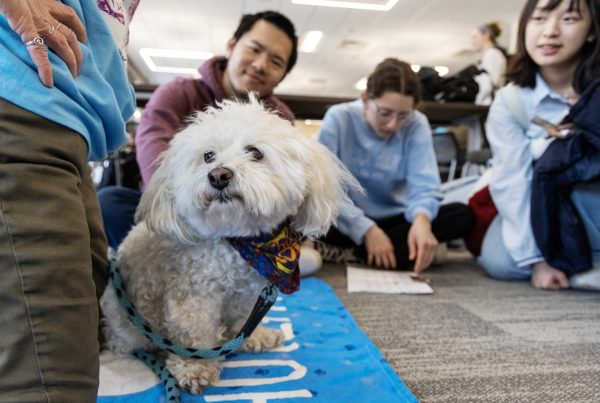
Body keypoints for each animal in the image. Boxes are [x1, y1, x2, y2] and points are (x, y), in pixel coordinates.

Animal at [101, 97, 358, 394]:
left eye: (255, 152)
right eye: (208, 156)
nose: (218, 175)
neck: (239, 243)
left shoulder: (247, 294)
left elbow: (242, 320)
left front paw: (253, 338)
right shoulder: (193, 296)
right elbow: (194, 332)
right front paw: (196, 368)